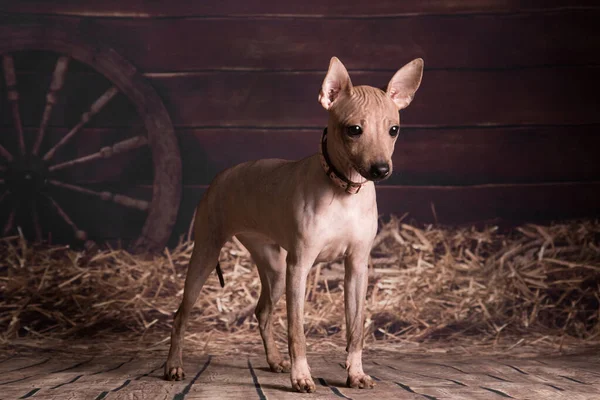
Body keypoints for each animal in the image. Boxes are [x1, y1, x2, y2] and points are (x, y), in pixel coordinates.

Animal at [166, 57, 424, 394]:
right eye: (354, 130)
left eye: (394, 130)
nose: (381, 169)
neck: (343, 190)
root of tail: (220, 177)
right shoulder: (299, 266)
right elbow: (297, 331)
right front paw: (301, 376)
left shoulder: (357, 268)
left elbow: (355, 330)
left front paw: (355, 374)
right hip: (207, 257)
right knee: (180, 315)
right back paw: (173, 365)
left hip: (274, 269)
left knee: (262, 312)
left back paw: (275, 360)